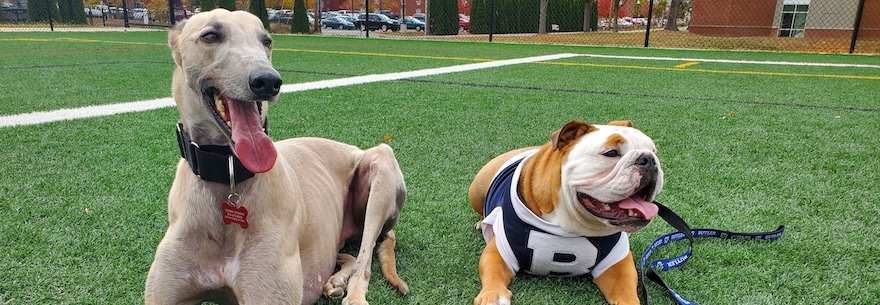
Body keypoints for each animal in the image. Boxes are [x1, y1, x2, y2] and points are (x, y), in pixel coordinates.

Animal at [144, 9, 410, 304]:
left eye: (267, 41)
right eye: (210, 35)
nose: (268, 81)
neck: (229, 176)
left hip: (382, 166)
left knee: (364, 258)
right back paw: (335, 280)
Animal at [468, 119, 660, 304]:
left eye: (654, 151)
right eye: (611, 153)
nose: (649, 159)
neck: (568, 224)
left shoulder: (617, 263)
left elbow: (625, 288)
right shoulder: (500, 251)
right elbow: (493, 272)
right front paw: (493, 296)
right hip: (476, 189)